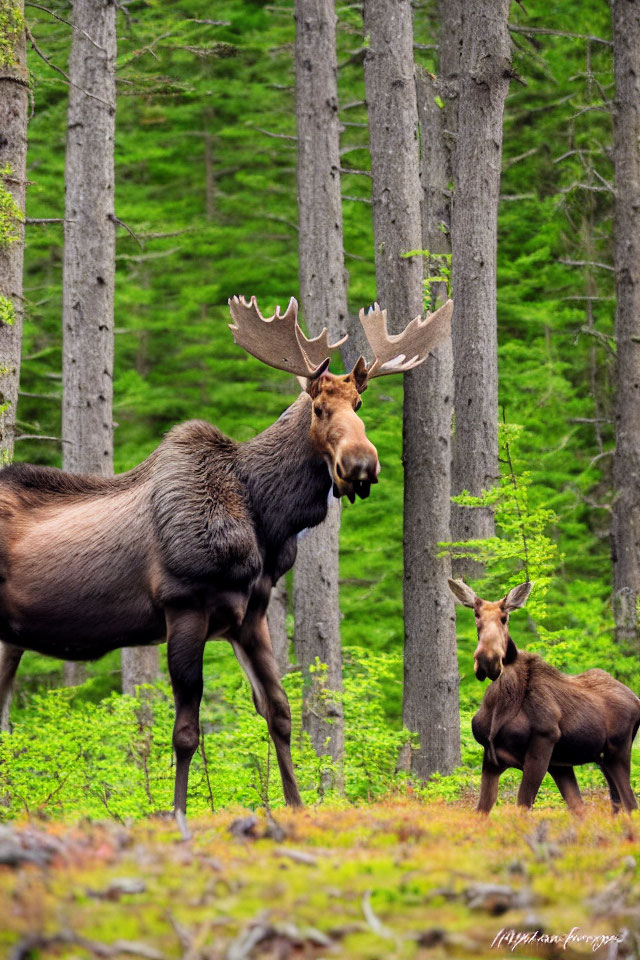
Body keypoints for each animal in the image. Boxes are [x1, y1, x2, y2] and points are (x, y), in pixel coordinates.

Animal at [0, 292, 452, 832]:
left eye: (359, 405)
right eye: (320, 409)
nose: (361, 464)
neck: (267, 519)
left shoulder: (249, 616)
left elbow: (279, 711)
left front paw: (296, 804)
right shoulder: (185, 607)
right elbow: (186, 732)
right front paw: (177, 812)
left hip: (9, 640)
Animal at [450, 576, 640, 816]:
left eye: (504, 617)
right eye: (476, 616)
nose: (488, 660)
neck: (500, 706)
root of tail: (636, 700)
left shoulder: (543, 741)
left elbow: (522, 805)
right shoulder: (491, 757)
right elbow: (482, 810)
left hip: (617, 751)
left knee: (630, 804)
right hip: (579, 762)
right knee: (596, 807)